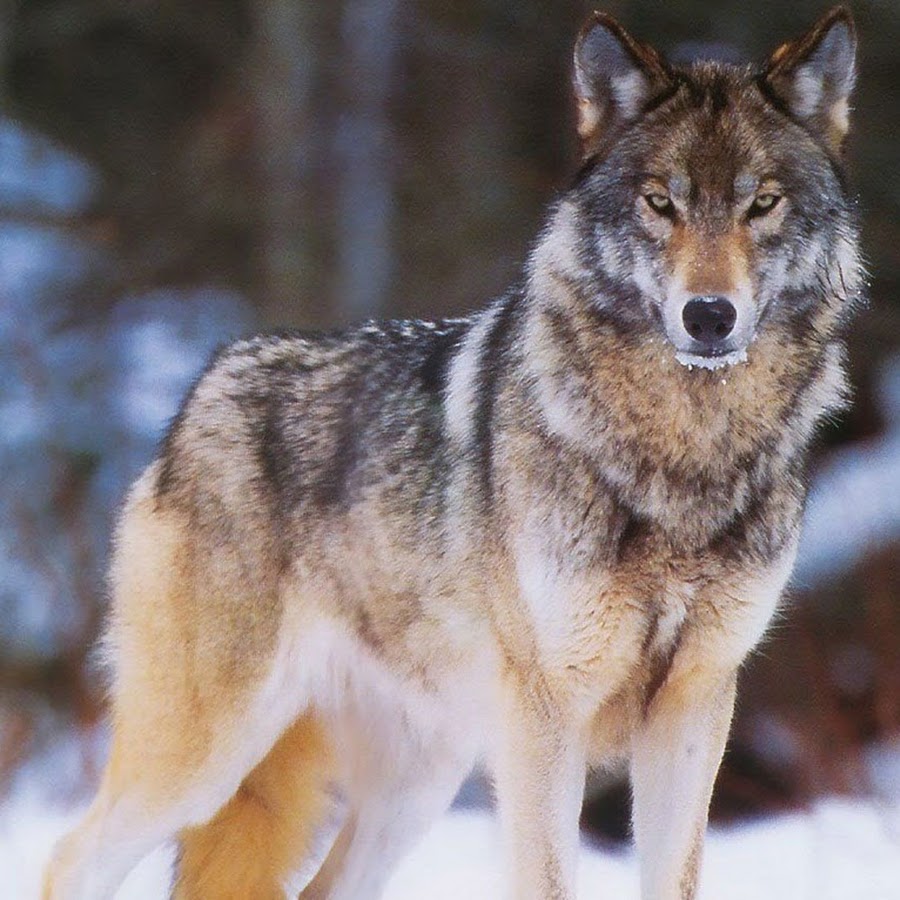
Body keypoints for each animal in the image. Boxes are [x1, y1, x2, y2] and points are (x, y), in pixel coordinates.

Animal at [45, 7, 860, 900]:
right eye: (659, 203)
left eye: (762, 204)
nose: (709, 316)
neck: (684, 455)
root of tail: (204, 385)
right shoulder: (547, 715)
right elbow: (549, 881)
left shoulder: (696, 706)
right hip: (204, 759)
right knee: (68, 858)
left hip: (416, 783)